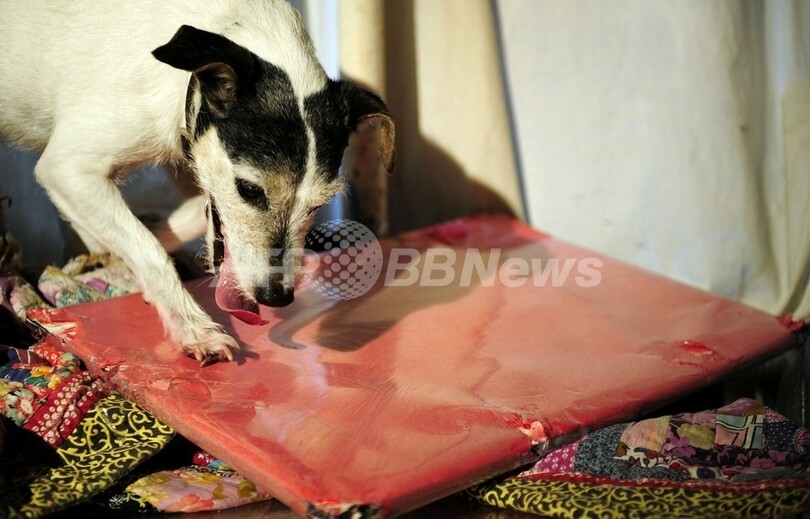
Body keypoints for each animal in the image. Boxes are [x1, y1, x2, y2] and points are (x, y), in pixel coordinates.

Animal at [0, 0, 394, 366]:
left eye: (318, 205)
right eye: (250, 190)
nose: (277, 297)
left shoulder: (185, 153)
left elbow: (185, 214)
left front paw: (141, 247)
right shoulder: (68, 168)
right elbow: (148, 249)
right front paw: (191, 325)